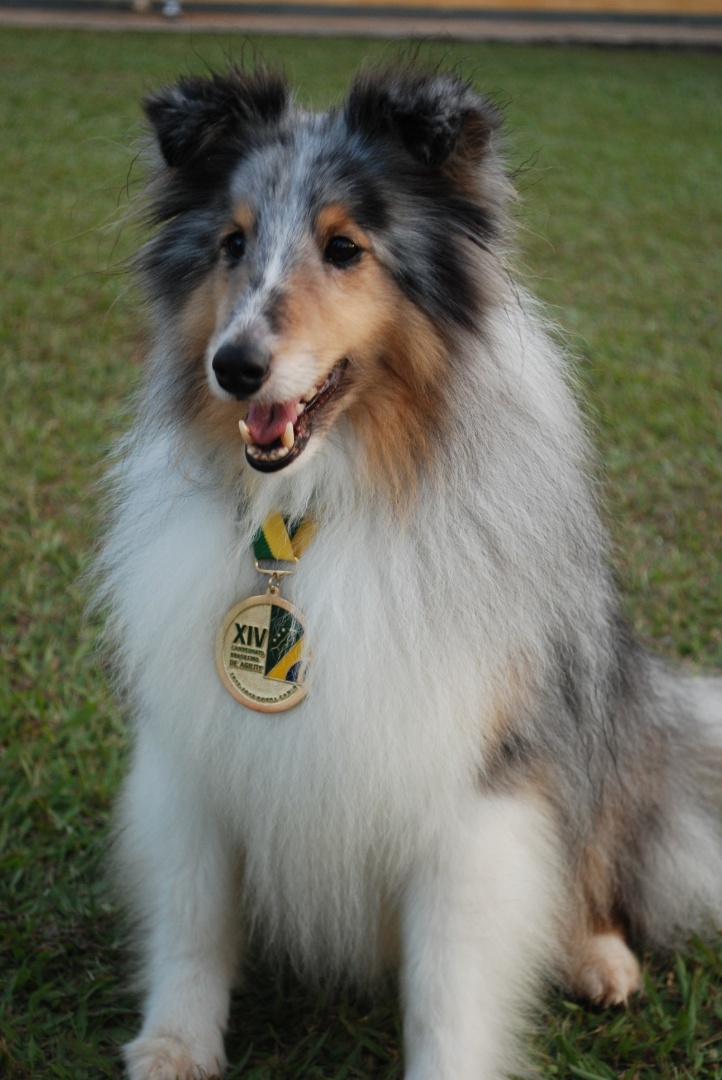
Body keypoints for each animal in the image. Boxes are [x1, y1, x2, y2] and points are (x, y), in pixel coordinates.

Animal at [98, 63, 720, 1075]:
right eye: (232, 244)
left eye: (345, 248)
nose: (235, 366)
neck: (320, 502)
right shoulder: (196, 756)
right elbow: (194, 918)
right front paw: (174, 1046)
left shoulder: (475, 789)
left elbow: (449, 984)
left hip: (601, 721)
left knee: (598, 855)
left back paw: (599, 957)